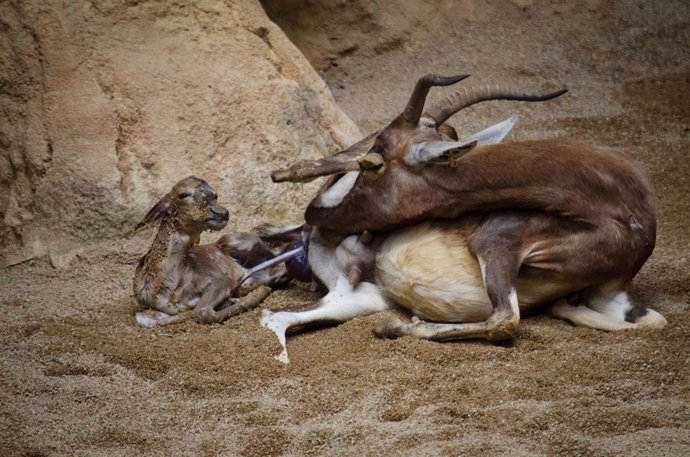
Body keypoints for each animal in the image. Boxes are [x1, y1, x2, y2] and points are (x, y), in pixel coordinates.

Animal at [260, 74, 664, 360]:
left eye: (374, 165)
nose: (321, 218)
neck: (618, 207)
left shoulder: (601, 286)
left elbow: (507, 321)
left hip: (359, 296)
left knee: (277, 316)